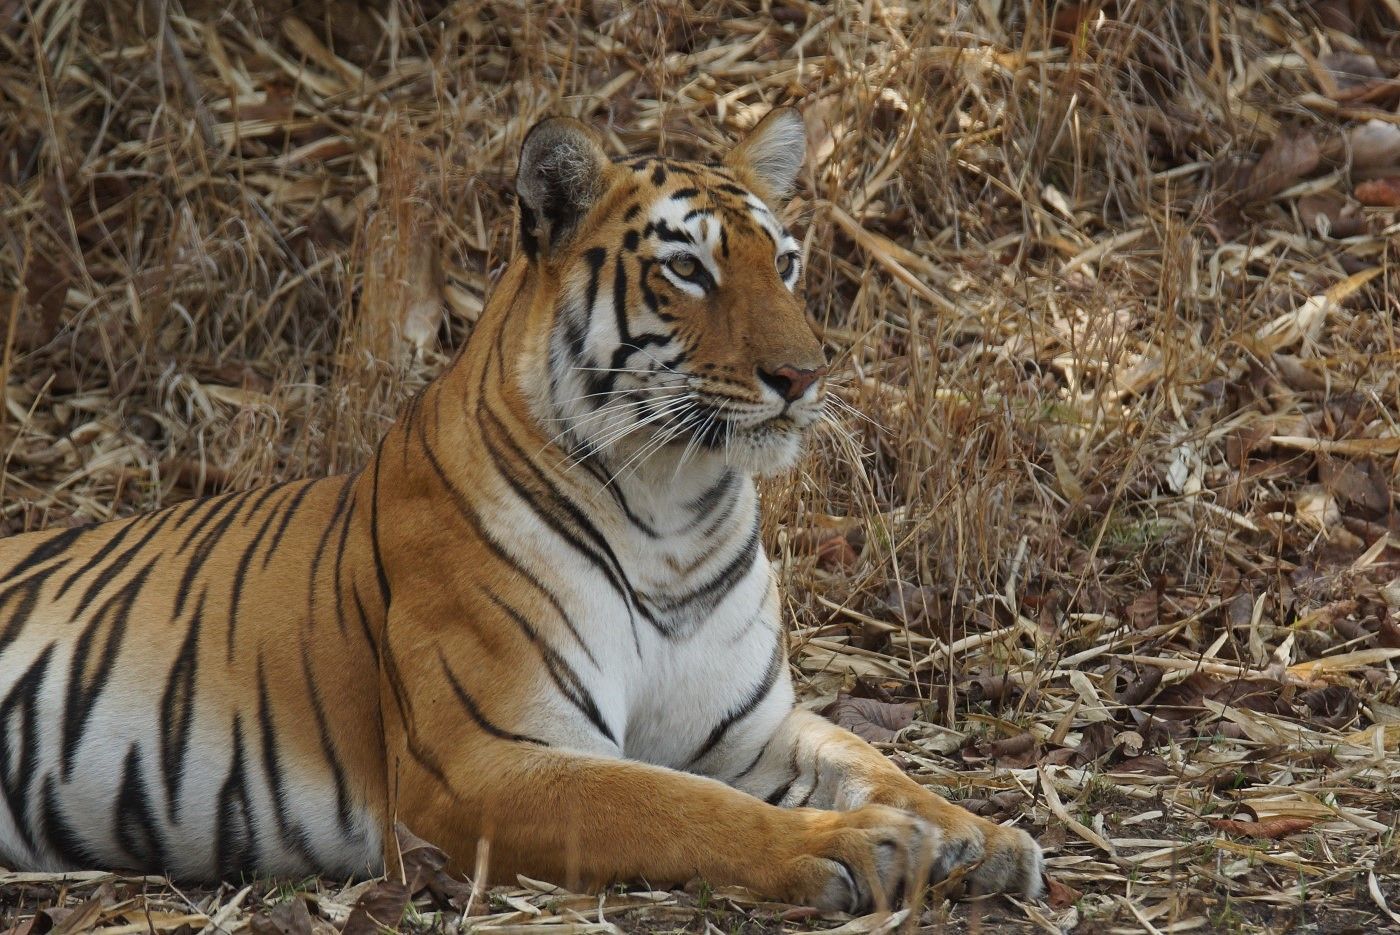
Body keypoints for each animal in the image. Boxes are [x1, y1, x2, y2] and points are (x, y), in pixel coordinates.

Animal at [0, 107, 1041, 907]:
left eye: (783, 263)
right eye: (689, 271)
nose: (803, 375)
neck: (677, 514)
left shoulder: (745, 729)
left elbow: (873, 758)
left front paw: (976, 835)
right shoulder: (490, 759)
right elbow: (679, 807)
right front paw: (854, 845)